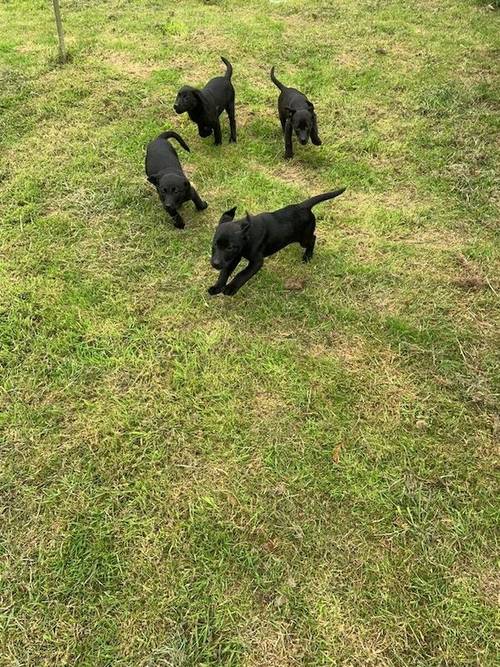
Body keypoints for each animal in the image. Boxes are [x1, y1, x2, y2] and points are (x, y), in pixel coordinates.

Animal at [209, 185, 346, 294]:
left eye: (229, 247)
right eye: (214, 244)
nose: (215, 263)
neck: (247, 236)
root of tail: (303, 206)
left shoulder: (256, 261)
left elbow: (242, 274)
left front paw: (231, 288)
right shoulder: (233, 257)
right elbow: (224, 272)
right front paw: (217, 287)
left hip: (303, 238)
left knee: (313, 238)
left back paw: (307, 256)